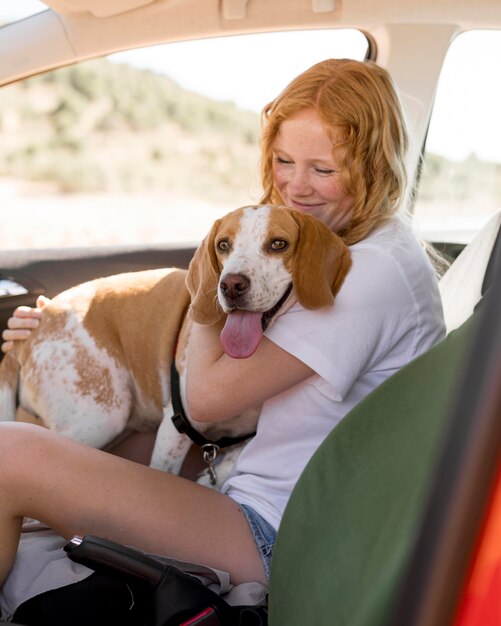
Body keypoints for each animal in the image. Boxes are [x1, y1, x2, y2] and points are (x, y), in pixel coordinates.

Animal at [0, 205, 352, 488]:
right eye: (223, 245)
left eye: (278, 244)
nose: (230, 285)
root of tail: (36, 324)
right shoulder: (175, 427)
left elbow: (236, 459)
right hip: (101, 416)